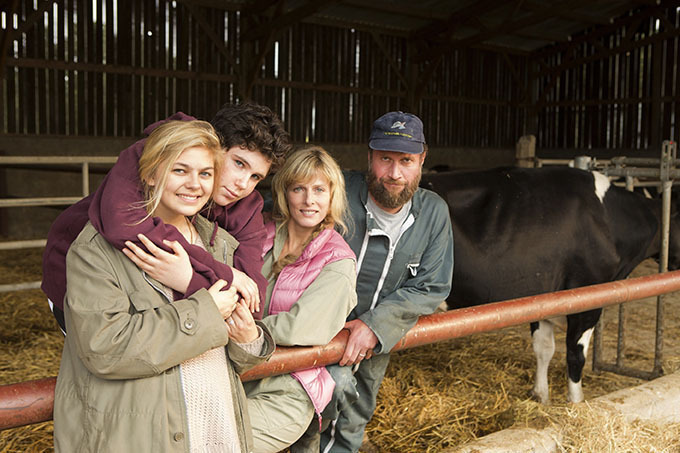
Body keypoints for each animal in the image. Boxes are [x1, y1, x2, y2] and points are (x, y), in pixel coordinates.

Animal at [422, 165, 676, 402]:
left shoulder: (542, 296)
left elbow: (543, 348)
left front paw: (540, 395)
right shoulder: (587, 298)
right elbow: (575, 355)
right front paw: (576, 403)